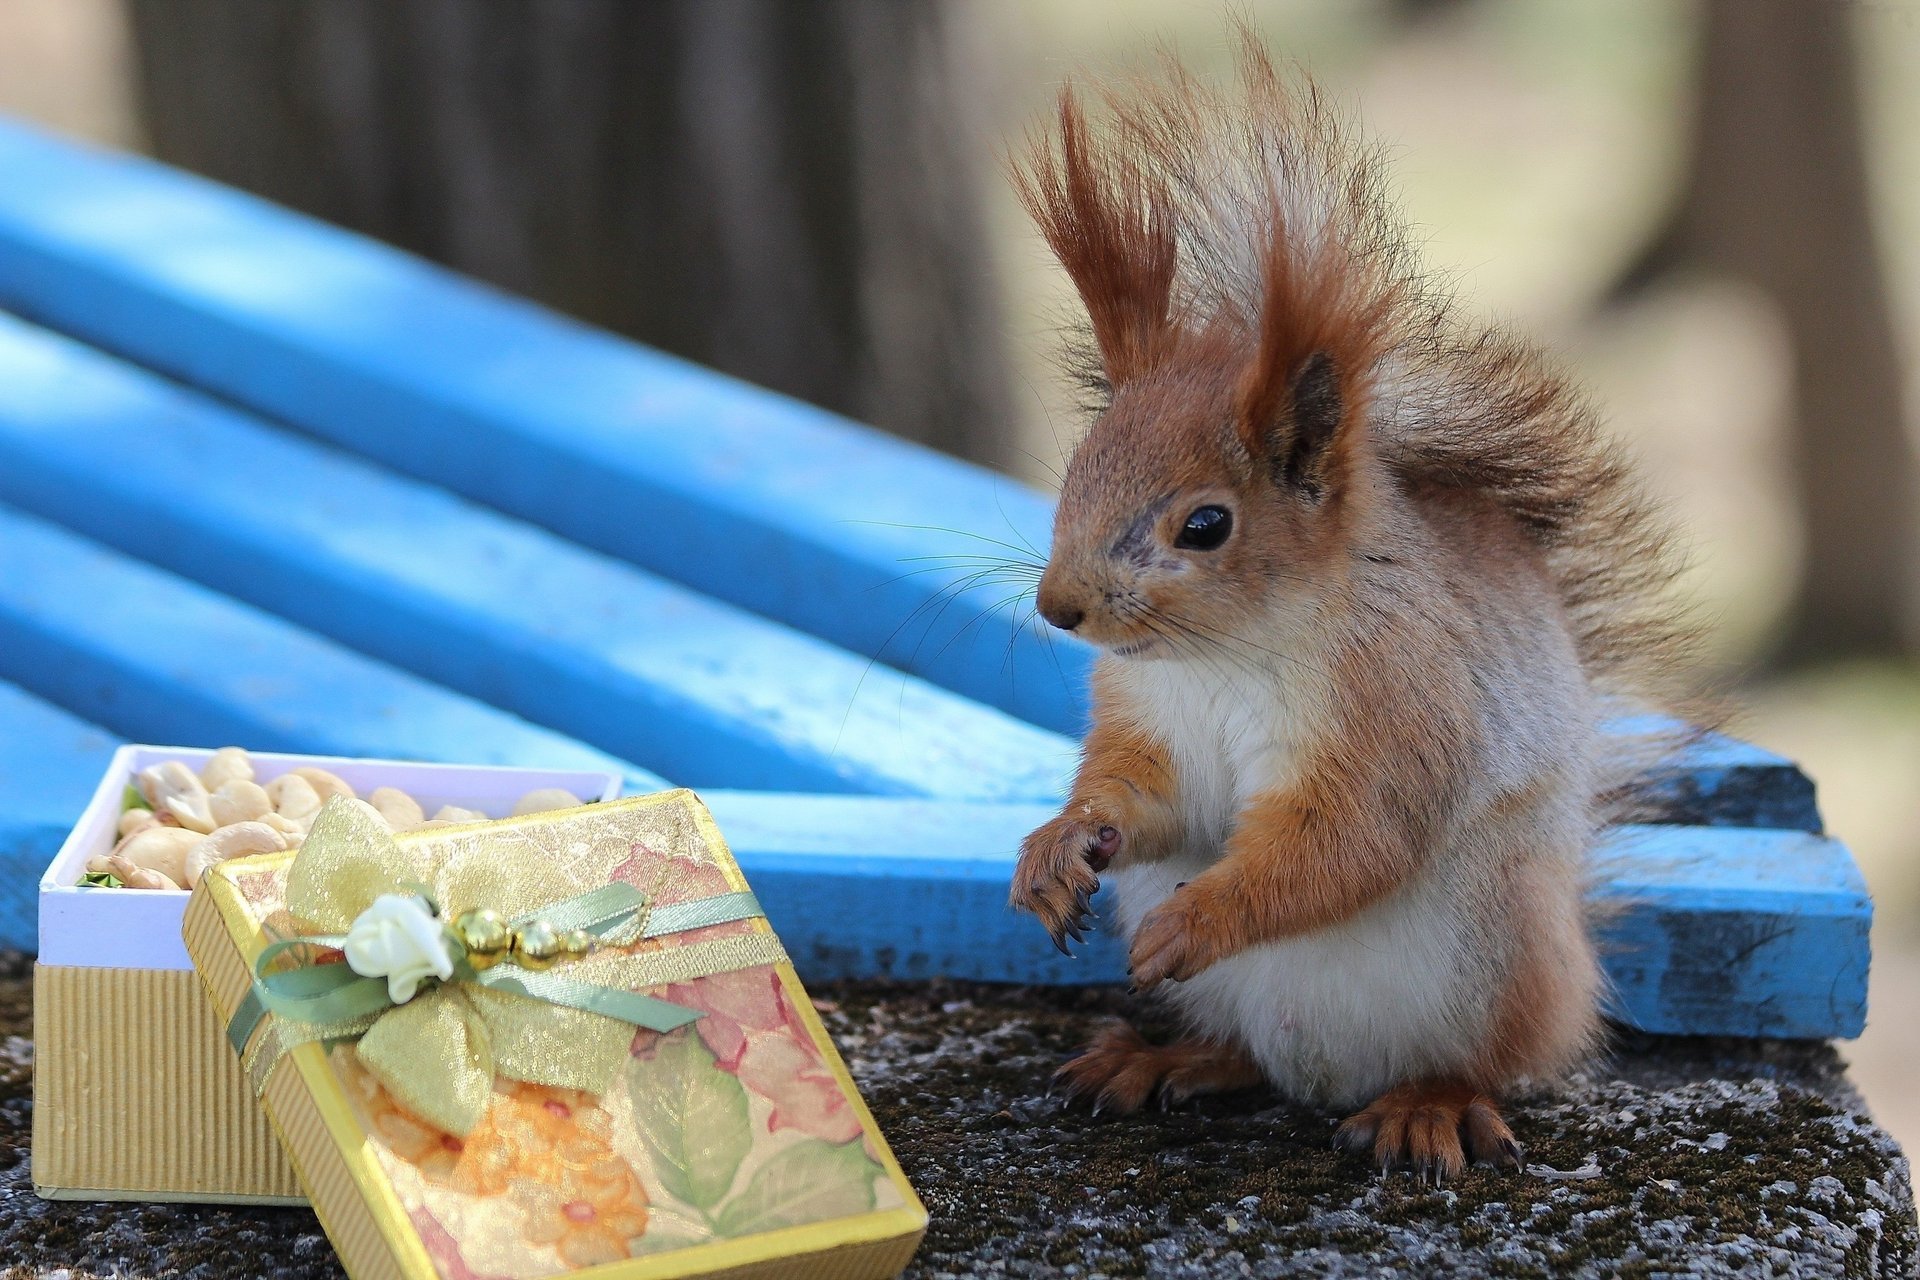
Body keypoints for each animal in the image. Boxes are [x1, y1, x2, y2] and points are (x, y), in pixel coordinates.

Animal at [1006, 39, 1708, 1179]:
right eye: (1076, 470)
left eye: (1207, 526)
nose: (1058, 607)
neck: (1226, 654)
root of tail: (1329, 1075)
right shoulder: (1150, 718)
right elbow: (1154, 802)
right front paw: (1059, 846)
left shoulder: (1398, 705)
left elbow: (1348, 841)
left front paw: (1203, 918)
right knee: (1247, 1055)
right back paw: (1167, 1058)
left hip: (1497, 948)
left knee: (1486, 1059)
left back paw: (1427, 1106)